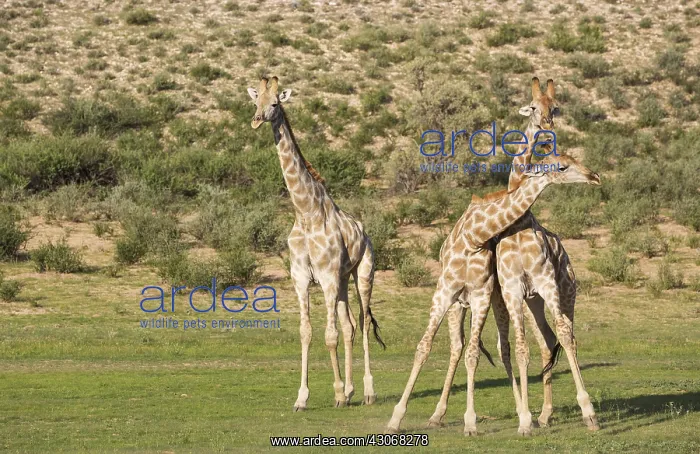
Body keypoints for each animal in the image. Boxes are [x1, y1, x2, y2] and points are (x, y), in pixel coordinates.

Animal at [248, 77, 385, 411]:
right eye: (255, 102)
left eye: (275, 103)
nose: (256, 120)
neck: (306, 212)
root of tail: (364, 232)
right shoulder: (300, 278)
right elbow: (306, 333)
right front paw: (302, 397)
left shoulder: (326, 277)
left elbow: (329, 335)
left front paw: (336, 393)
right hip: (343, 280)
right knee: (349, 326)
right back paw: (351, 390)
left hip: (362, 273)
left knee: (362, 323)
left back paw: (367, 391)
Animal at [386, 146, 601, 435]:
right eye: (563, 167)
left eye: (575, 159)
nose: (594, 176)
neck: (474, 237)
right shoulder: (446, 292)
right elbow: (424, 347)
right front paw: (395, 418)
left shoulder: (488, 294)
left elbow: (477, 354)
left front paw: (473, 422)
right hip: (486, 303)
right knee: (467, 346)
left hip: (560, 293)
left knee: (551, 339)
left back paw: (537, 414)